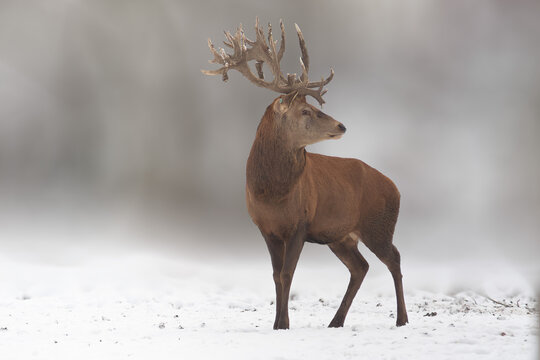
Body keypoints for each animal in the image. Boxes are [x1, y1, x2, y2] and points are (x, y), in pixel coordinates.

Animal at [204, 19, 410, 330]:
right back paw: (336, 321)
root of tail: (395, 187)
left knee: (394, 259)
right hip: (341, 236)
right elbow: (276, 275)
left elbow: (288, 273)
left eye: (314, 106)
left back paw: (401, 319)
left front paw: (283, 324)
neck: (272, 193)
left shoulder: (300, 223)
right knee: (361, 267)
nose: (341, 126)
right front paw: (277, 323)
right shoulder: (265, 228)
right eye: (304, 111)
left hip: (378, 226)